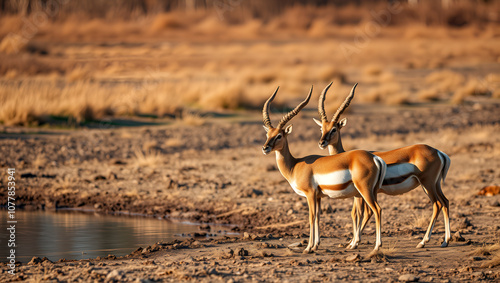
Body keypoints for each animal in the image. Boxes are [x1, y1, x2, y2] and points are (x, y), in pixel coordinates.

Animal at [262, 85, 386, 254]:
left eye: (279, 135)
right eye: (268, 134)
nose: (265, 148)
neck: (295, 165)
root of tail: (374, 157)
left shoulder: (310, 194)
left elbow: (311, 217)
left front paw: (308, 248)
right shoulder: (319, 196)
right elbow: (319, 217)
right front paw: (315, 245)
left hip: (364, 191)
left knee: (377, 210)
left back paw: (376, 246)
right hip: (369, 192)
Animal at [316, 81, 454, 250]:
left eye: (334, 129)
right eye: (322, 128)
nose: (322, 142)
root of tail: (438, 152)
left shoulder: (360, 194)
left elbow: (359, 214)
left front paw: (354, 242)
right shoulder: (361, 194)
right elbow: (359, 214)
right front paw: (352, 242)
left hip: (427, 184)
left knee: (437, 205)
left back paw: (423, 241)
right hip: (434, 184)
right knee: (445, 202)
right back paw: (445, 241)